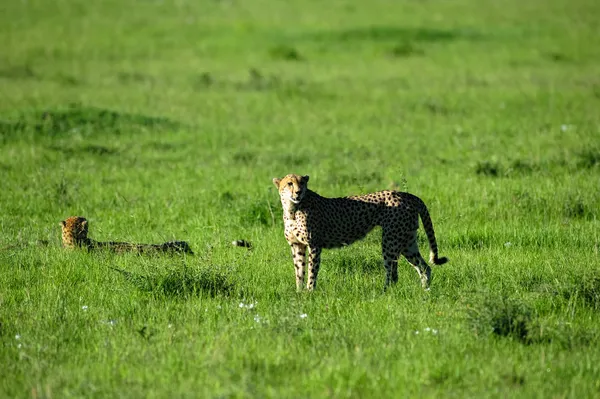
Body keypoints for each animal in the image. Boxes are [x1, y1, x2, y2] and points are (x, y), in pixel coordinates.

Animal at [272, 174, 446, 290]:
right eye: (289, 183)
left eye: (302, 183)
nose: (298, 192)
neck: (292, 209)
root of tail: (406, 194)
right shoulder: (297, 245)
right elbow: (299, 270)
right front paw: (299, 292)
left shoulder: (314, 244)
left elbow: (312, 271)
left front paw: (309, 292)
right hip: (407, 240)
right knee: (424, 267)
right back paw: (425, 290)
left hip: (391, 240)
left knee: (392, 272)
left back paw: (385, 292)